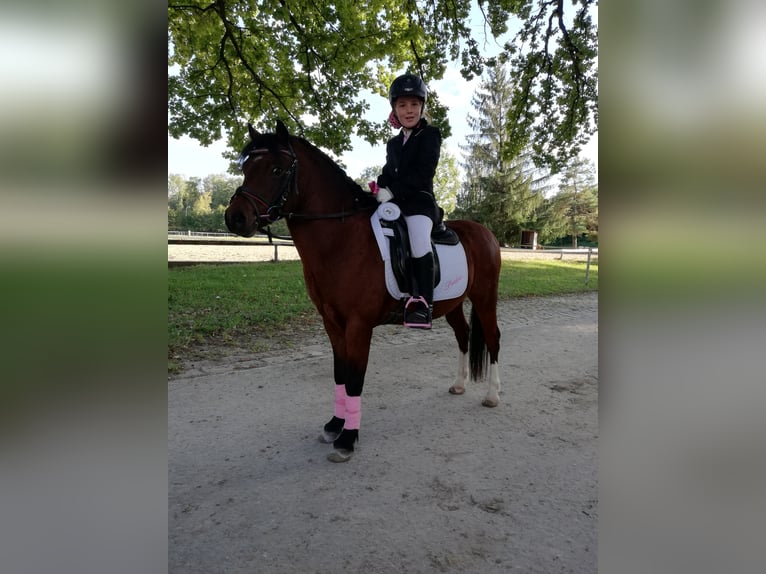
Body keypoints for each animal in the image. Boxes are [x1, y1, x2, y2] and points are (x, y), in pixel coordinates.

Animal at [225, 120, 502, 462]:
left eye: (277, 169)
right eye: (246, 167)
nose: (235, 217)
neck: (342, 239)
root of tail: (484, 232)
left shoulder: (358, 325)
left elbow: (355, 378)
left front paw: (347, 439)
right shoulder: (332, 323)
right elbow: (340, 373)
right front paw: (334, 425)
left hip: (485, 298)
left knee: (492, 338)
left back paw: (492, 395)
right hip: (452, 303)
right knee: (463, 336)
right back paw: (460, 384)